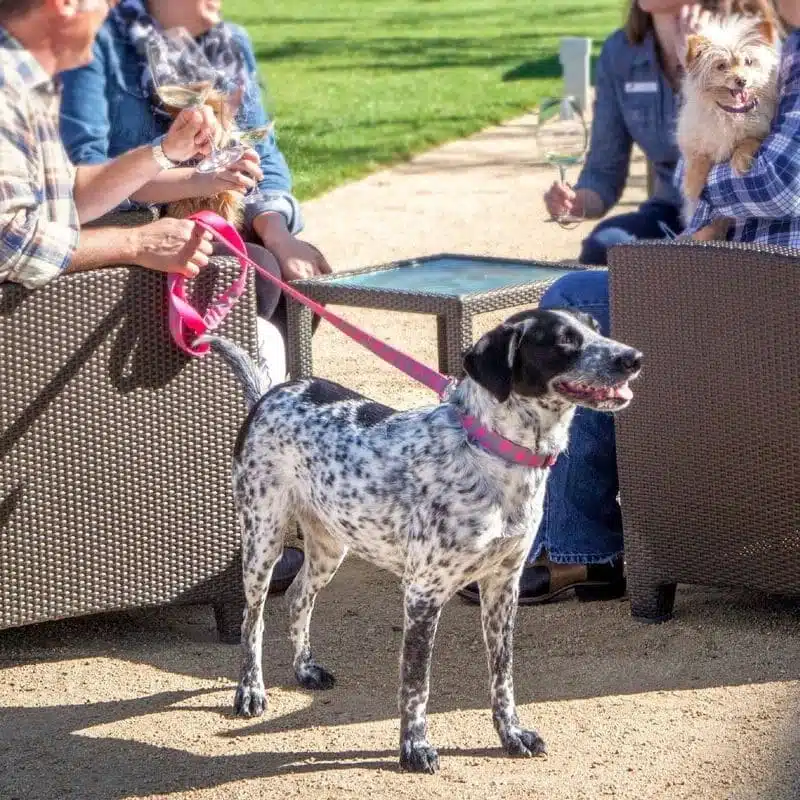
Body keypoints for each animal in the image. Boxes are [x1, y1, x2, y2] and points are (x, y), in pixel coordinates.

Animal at [202, 308, 644, 776]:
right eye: (563, 341)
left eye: (595, 328)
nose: (633, 358)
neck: (493, 454)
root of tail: (269, 393)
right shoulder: (422, 595)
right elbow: (417, 683)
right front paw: (414, 747)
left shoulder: (503, 588)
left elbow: (502, 675)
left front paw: (511, 734)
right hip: (262, 539)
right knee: (253, 620)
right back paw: (250, 690)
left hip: (330, 544)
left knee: (298, 596)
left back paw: (305, 669)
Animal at [680, 14, 780, 234]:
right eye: (721, 66)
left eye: (748, 62)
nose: (741, 80)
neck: (731, 112)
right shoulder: (694, 141)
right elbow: (698, 158)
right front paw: (692, 184)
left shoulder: (759, 130)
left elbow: (747, 141)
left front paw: (740, 160)